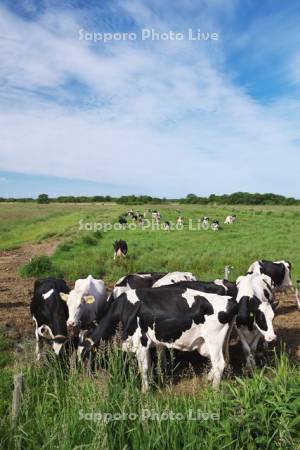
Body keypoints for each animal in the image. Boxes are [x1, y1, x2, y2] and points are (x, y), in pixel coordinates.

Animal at [79, 288, 237, 390]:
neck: (125, 308)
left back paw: (214, 390)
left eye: (85, 356)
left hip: (213, 342)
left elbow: (143, 368)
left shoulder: (140, 342)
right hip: (219, 343)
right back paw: (209, 378)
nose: (83, 378)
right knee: (224, 360)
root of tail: (229, 300)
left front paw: (144, 391)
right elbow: (149, 366)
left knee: (219, 363)